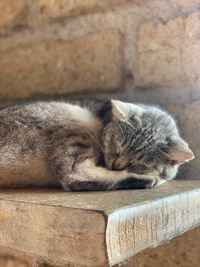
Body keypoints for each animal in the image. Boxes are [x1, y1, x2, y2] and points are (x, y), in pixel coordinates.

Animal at [0, 99, 194, 192]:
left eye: (137, 161)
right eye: (118, 147)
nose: (116, 165)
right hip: (74, 122)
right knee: (75, 176)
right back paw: (148, 180)